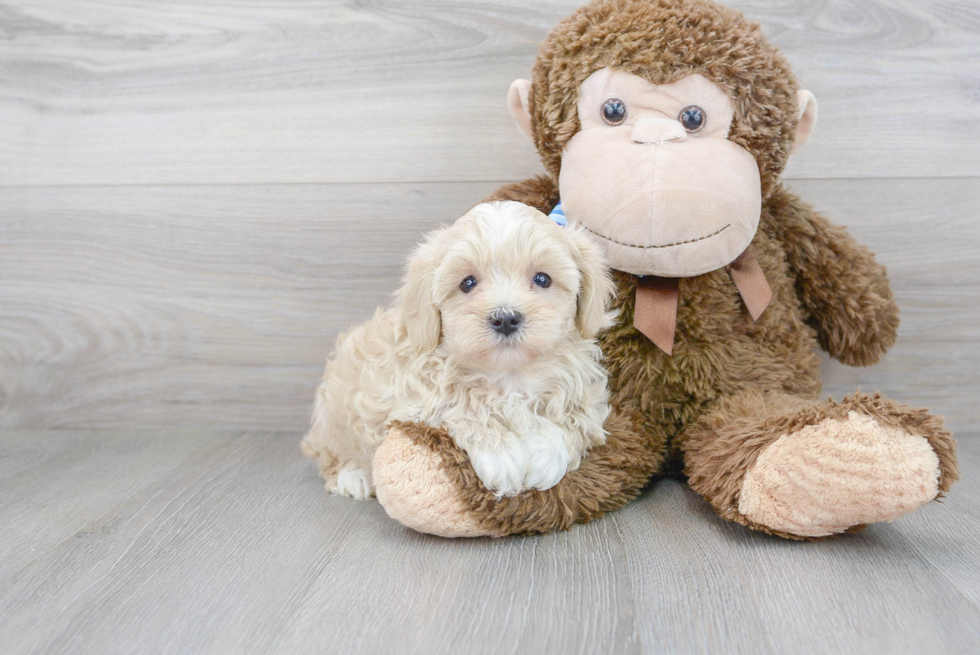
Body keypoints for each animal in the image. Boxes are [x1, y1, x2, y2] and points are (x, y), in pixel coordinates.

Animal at [302, 200, 616, 498]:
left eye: (542, 279)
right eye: (467, 283)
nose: (505, 318)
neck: (510, 375)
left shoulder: (584, 394)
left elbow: (573, 417)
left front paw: (546, 456)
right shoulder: (414, 399)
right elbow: (460, 405)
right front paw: (501, 455)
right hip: (332, 414)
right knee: (330, 454)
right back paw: (353, 476)